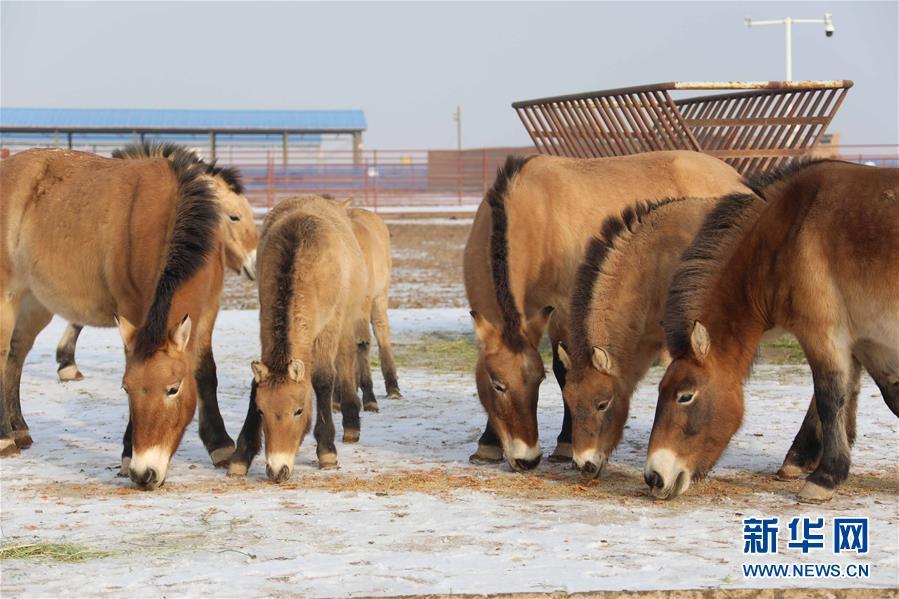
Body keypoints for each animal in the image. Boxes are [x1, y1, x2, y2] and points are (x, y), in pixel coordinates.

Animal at [0, 148, 225, 490]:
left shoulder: (208, 313)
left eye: (173, 389)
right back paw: (5, 438)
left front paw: (221, 445)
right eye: (126, 389)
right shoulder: (133, 309)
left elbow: (206, 373)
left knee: (16, 354)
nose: (145, 474)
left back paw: (19, 430)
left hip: (33, 302)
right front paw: (127, 455)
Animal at [648, 159, 899, 502]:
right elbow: (875, 394)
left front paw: (824, 477)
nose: (654, 476)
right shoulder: (864, 342)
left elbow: (830, 397)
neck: (791, 226)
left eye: (685, 396)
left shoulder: (823, 333)